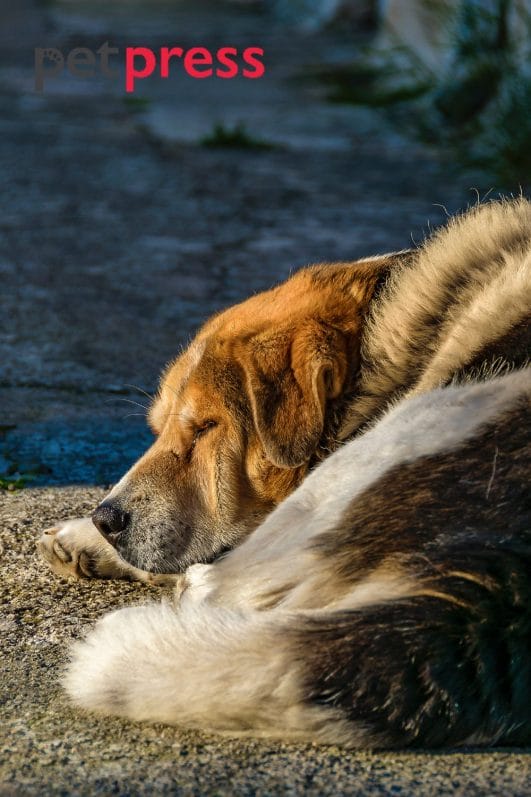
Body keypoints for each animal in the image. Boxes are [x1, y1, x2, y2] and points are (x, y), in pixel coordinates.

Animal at [39, 199, 528, 748]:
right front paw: (85, 534)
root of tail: (502, 590)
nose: (107, 520)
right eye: (159, 427)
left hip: (402, 441)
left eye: (206, 427)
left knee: (231, 585)